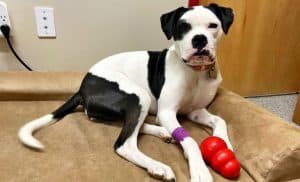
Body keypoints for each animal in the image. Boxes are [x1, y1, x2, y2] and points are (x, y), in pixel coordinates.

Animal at [18, 3, 234, 182]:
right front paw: (200, 171)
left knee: (128, 124)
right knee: (125, 144)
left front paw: (226, 144)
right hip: (139, 96)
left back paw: (163, 132)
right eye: (183, 27)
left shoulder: (195, 111)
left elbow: (220, 120)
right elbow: (190, 140)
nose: (199, 40)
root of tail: (82, 86)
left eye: (213, 26)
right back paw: (158, 166)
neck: (195, 72)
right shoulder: (167, 112)